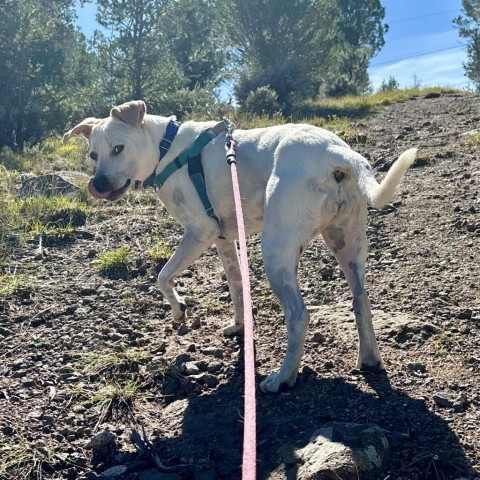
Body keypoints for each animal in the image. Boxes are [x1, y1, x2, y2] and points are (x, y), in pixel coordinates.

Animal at [63, 101, 416, 394]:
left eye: (118, 149)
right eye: (93, 156)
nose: (97, 185)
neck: (166, 148)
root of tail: (336, 153)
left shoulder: (199, 232)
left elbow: (162, 276)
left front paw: (178, 310)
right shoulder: (223, 239)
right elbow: (235, 286)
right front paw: (238, 325)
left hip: (276, 250)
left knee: (299, 315)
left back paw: (283, 378)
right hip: (346, 244)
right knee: (360, 300)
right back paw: (369, 359)